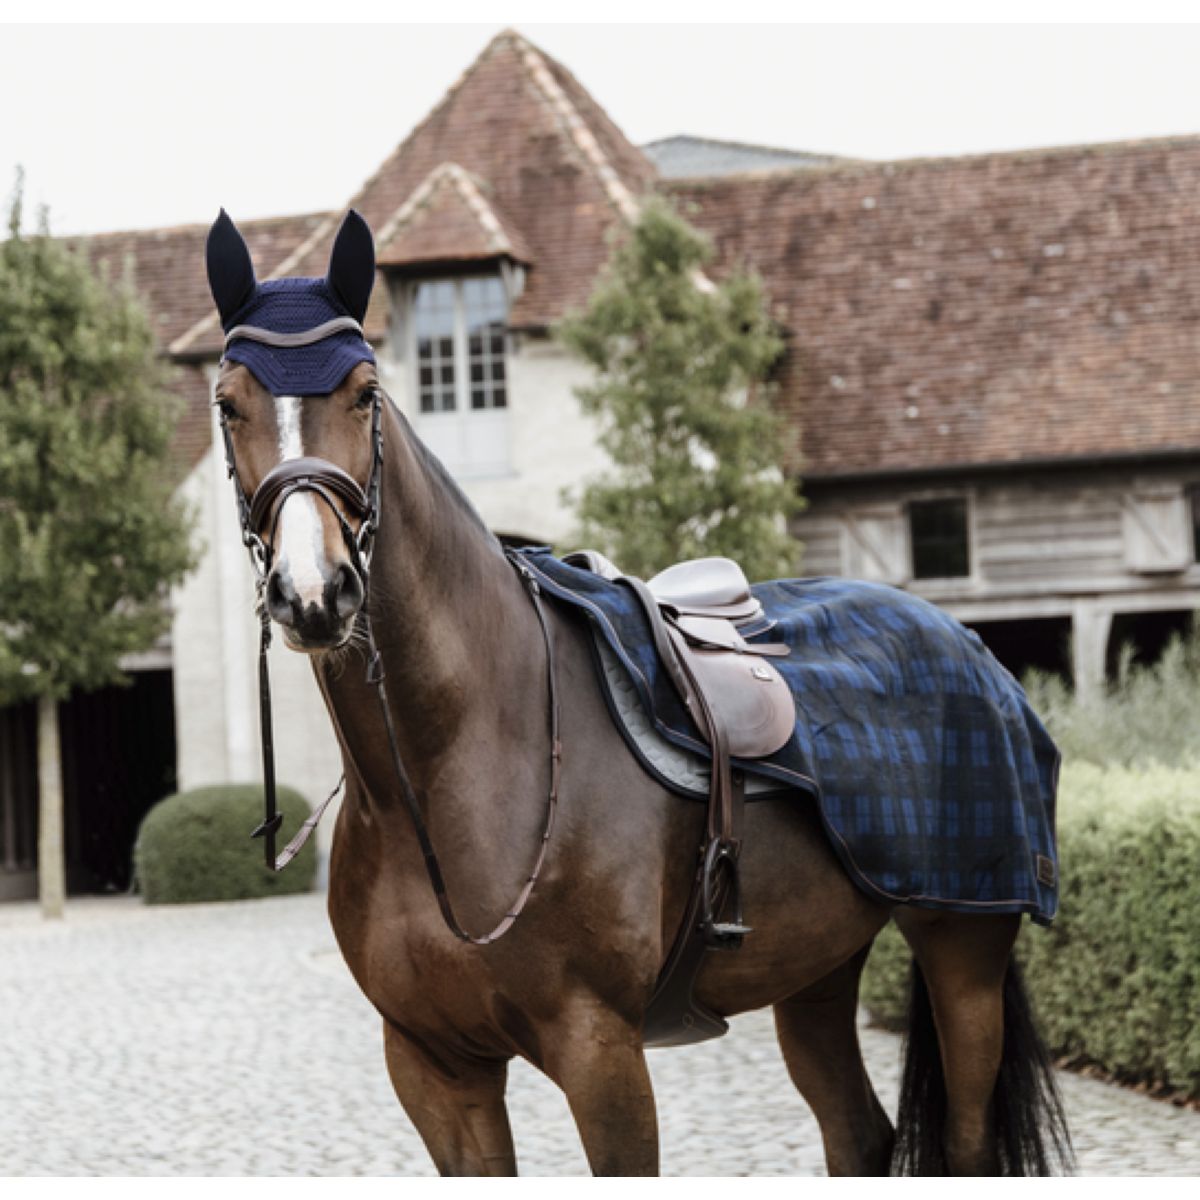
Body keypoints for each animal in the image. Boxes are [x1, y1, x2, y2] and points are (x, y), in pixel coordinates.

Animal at [204, 211, 1070, 1176]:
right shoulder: (435, 1067)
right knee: (858, 1132)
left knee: (964, 1140)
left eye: (365, 394)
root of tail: (971, 648)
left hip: (963, 952)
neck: (450, 770)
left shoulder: (600, 1052)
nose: (314, 592)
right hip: (816, 968)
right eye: (227, 403)